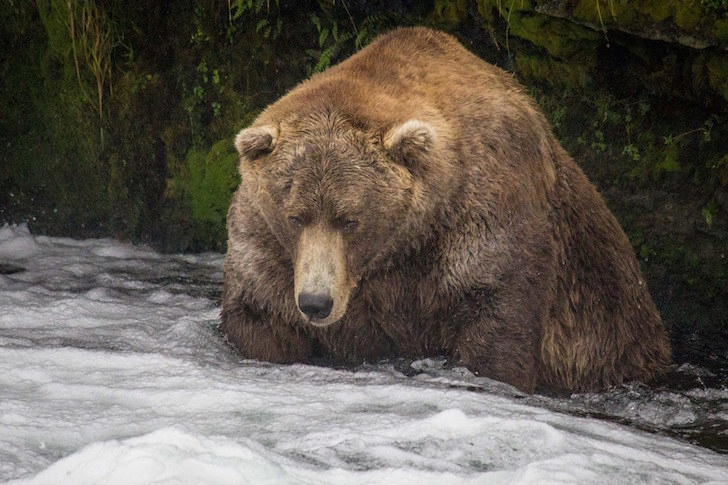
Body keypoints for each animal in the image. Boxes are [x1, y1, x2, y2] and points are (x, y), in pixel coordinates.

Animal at [223, 26, 672, 392]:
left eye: (350, 219)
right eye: (294, 215)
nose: (316, 302)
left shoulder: (485, 213)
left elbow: (498, 321)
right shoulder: (266, 244)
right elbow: (258, 311)